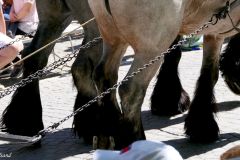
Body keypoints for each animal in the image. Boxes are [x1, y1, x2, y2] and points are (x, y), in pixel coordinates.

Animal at [88, 0, 240, 148]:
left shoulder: (214, 30)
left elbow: (207, 73)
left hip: (113, 36)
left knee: (104, 75)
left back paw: (109, 135)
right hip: (151, 48)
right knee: (131, 90)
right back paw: (136, 142)